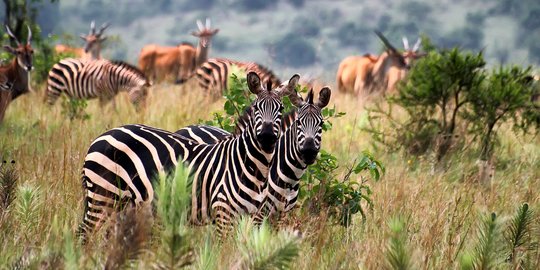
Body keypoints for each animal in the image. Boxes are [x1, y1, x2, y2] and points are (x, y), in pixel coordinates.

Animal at [78, 72, 302, 240]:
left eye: (281, 108)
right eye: (256, 108)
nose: (266, 137)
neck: (252, 166)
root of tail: (102, 135)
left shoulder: (252, 216)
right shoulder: (223, 212)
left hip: (121, 203)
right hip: (103, 194)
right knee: (84, 234)